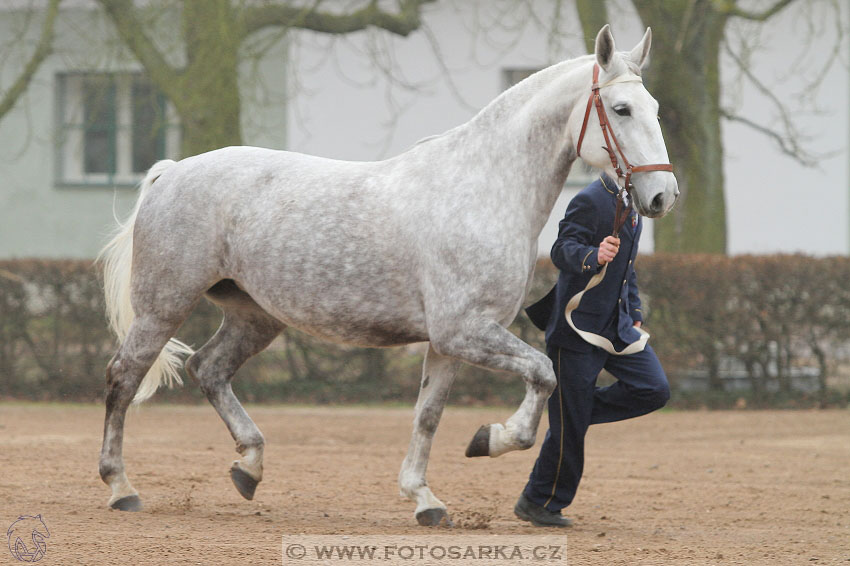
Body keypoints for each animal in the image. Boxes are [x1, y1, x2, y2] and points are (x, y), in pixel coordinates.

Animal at [96, 25, 676, 528]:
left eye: (655, 109)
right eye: (621, 109)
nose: (662, 196)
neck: (483, 188)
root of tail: (172, 170)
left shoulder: (446, 343)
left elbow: (428, 415)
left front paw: (424, 498)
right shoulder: (464, 331)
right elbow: (543, 374)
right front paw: (489, 439)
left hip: (254, 316)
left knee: (209, 369)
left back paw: (249, 467)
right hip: (164, 306)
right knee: (125, 376)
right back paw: (122, 488)